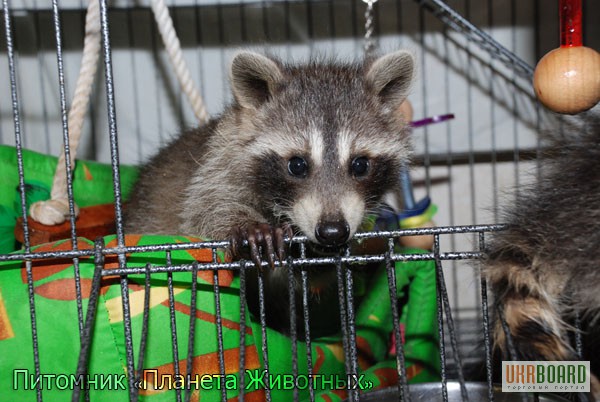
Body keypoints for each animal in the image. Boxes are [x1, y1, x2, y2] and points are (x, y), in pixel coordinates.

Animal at [124, 50, 414, 338]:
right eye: (297, 165)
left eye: (360, 165)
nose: (332, 231)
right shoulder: (217, 164)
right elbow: (202, 211)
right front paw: (247, 225)